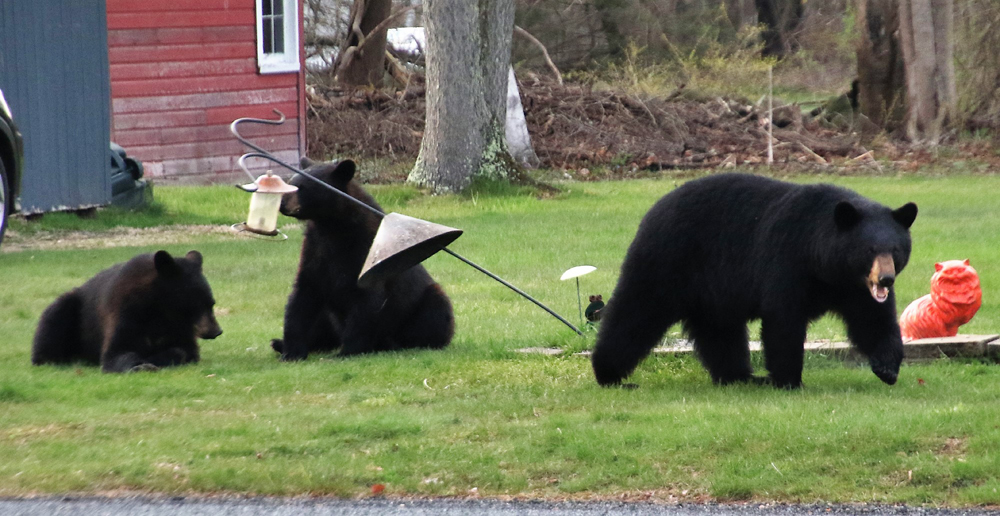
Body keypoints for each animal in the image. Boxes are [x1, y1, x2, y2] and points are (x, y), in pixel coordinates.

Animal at [32, 249, 222, 370]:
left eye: (211, 303)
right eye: (196, 304)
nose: (216, 331)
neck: (160, 310)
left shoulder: (180, 329)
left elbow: (184, 350)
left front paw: (154, 359)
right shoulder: (125, 313)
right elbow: (116, 352)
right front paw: (140, 365)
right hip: (70, 307)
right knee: (52, 321)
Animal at [266, 159, 454, 360]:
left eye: (302, 187)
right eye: (290, 182)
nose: (281, 203)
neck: (332, 227)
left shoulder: (366, 251)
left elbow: (366, 300)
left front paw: (348, 351)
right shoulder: (315, 250)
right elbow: (303, 295)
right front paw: (291, 352)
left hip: (422, 306)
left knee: (434, 313)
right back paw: (281, 343)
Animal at [588, 173, 916, 388]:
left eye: (896, 250)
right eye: (869, 249)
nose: (886, 279)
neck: (826, 264)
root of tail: (653, 209)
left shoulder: (854, 288)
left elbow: (871, 319)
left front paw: (887, 367)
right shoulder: (787, 261)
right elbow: (783, 319)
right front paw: (789, 380)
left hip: (711, 291)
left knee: (719, 331)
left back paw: (740, 377)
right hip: (666, 260)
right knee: (637, 311)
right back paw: (610, 375)